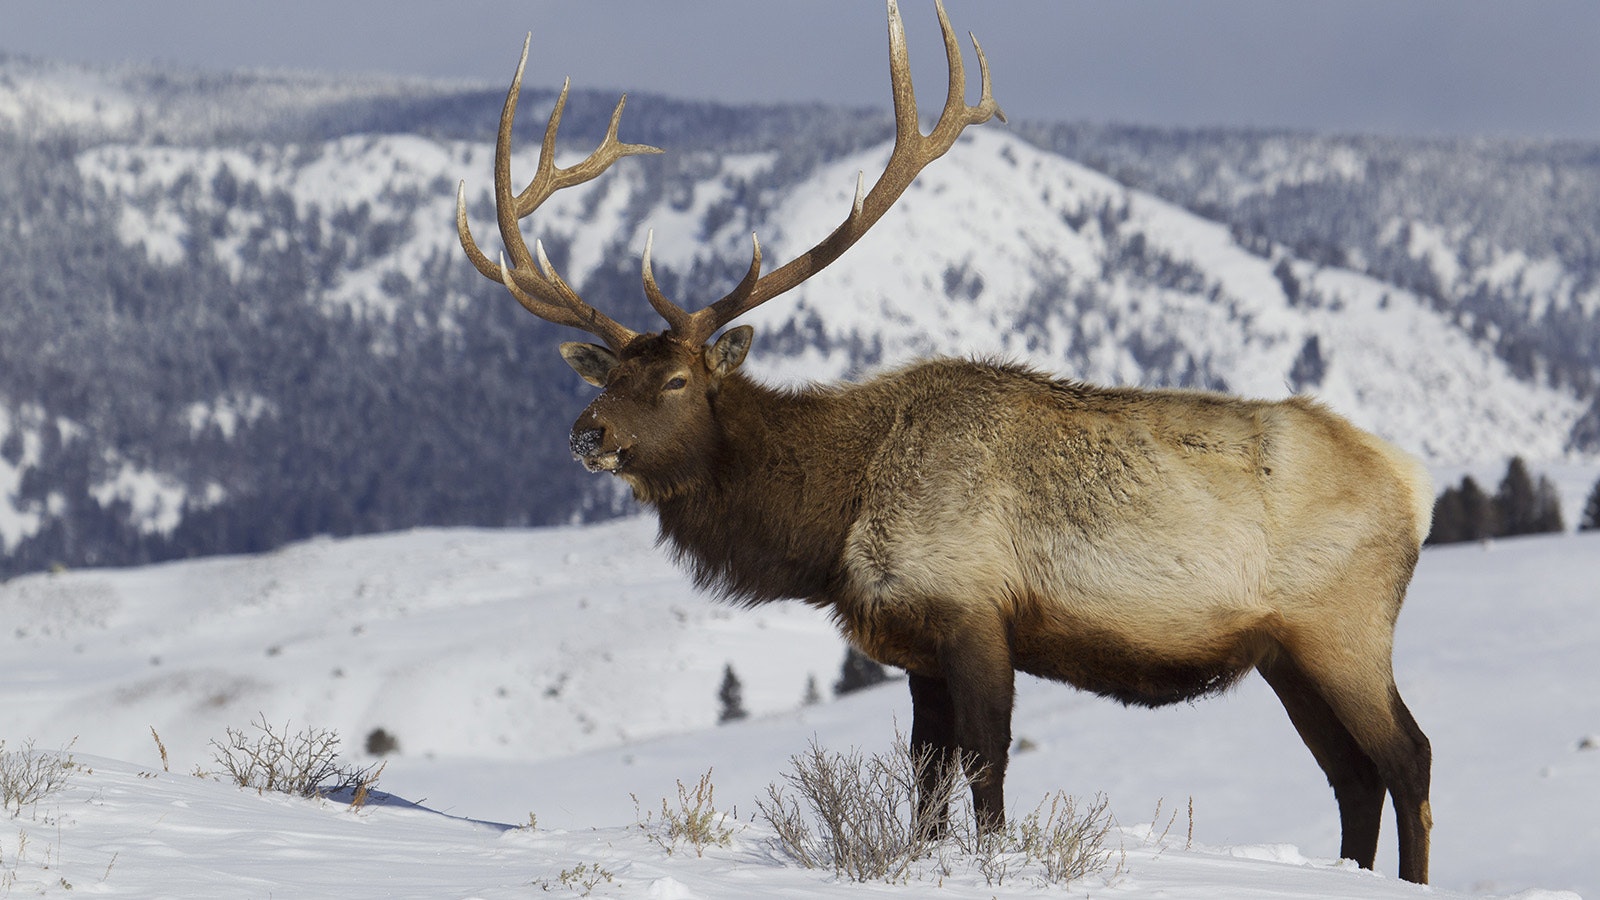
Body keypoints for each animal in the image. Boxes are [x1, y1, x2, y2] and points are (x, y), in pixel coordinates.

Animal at [455, 1, 1434, 884]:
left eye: (676, 383)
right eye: (605, 378)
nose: (586, 434)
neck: (832, 524)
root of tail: (1412, 480)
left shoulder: (974, 612)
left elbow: (986, 770)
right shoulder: (914, 644)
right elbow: (924, 784)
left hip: (1342, 626)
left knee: (1407, 757)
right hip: (1286, 654)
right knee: (1352, 777)